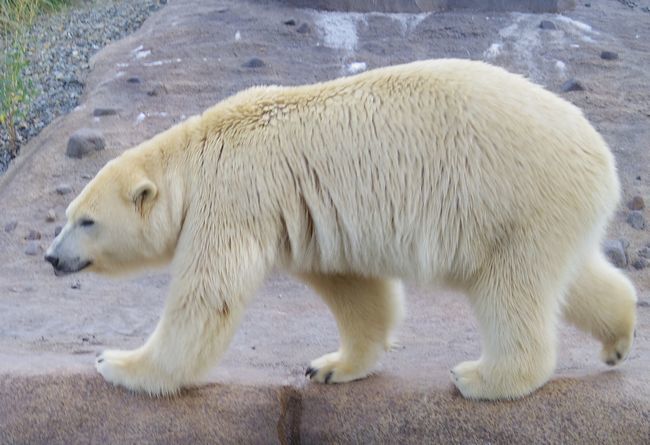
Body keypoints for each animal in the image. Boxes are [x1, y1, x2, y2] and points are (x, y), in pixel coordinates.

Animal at [44, 58, 632, 398]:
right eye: (68, 215)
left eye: (86, 220)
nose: (51, 257)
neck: (198, 157)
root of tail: (602, 159)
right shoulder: (307, 215)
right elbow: (355, 289)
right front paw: (330, 366)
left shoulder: (235, 196)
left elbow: (207, 297)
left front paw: (117, 363)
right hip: (546, 212)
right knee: (571, 277)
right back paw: (618, 338)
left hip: (511, 197)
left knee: (510, 289)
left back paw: (482, 378)